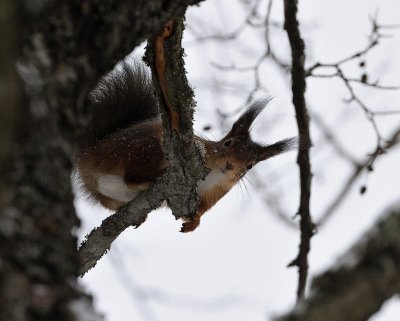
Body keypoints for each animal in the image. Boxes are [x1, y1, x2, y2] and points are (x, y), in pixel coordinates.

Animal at [76, 60, 300, 230]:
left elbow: (199, 211)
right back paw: (150, 179)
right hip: (144, 148)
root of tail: (90, 153)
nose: (230, 166)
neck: (215, 173)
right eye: (228, 143)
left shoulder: (215, 193)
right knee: (133, 176)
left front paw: (193, 223)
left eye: (250, 165)